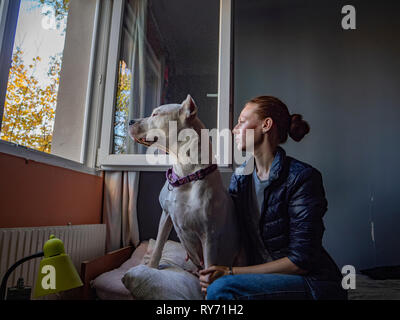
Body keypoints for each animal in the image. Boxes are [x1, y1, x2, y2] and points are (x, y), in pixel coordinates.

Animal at [130, 94, 245, 270]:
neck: (185, 175)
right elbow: (158, 245)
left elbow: (209, 269)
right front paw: (150, 267)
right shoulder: (166, 215)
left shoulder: (209, 237)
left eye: (155, 114)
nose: (129, 121)